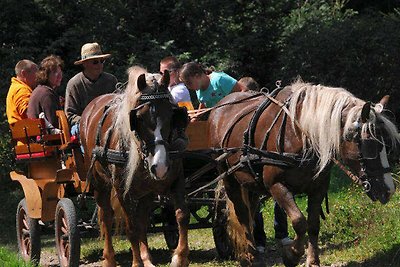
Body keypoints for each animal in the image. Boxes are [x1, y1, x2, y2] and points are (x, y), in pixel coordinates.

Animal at [80, 66, 191, 266]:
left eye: (172, 115)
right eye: (139, 118)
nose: (160, 166)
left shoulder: (176, 179)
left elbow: (182, 215)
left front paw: (180, 257)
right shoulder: (122, 189)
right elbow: (130, 228)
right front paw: (136, 262)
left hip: (146, 192)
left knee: (142, 219)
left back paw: (147, 258)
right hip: (100, 183)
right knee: (107, 217)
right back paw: (109, 259)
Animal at [208, 80, 398, 266]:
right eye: (369, 143)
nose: (389, 189)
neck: (299, 134)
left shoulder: (319, 187)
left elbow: (313, 224)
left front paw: (312, 261)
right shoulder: (275, 185)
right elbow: (299, 222)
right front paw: (291, 255)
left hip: (251, 183)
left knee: (251, 213)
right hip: (229, 179)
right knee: (242, 214)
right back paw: (250, 257)